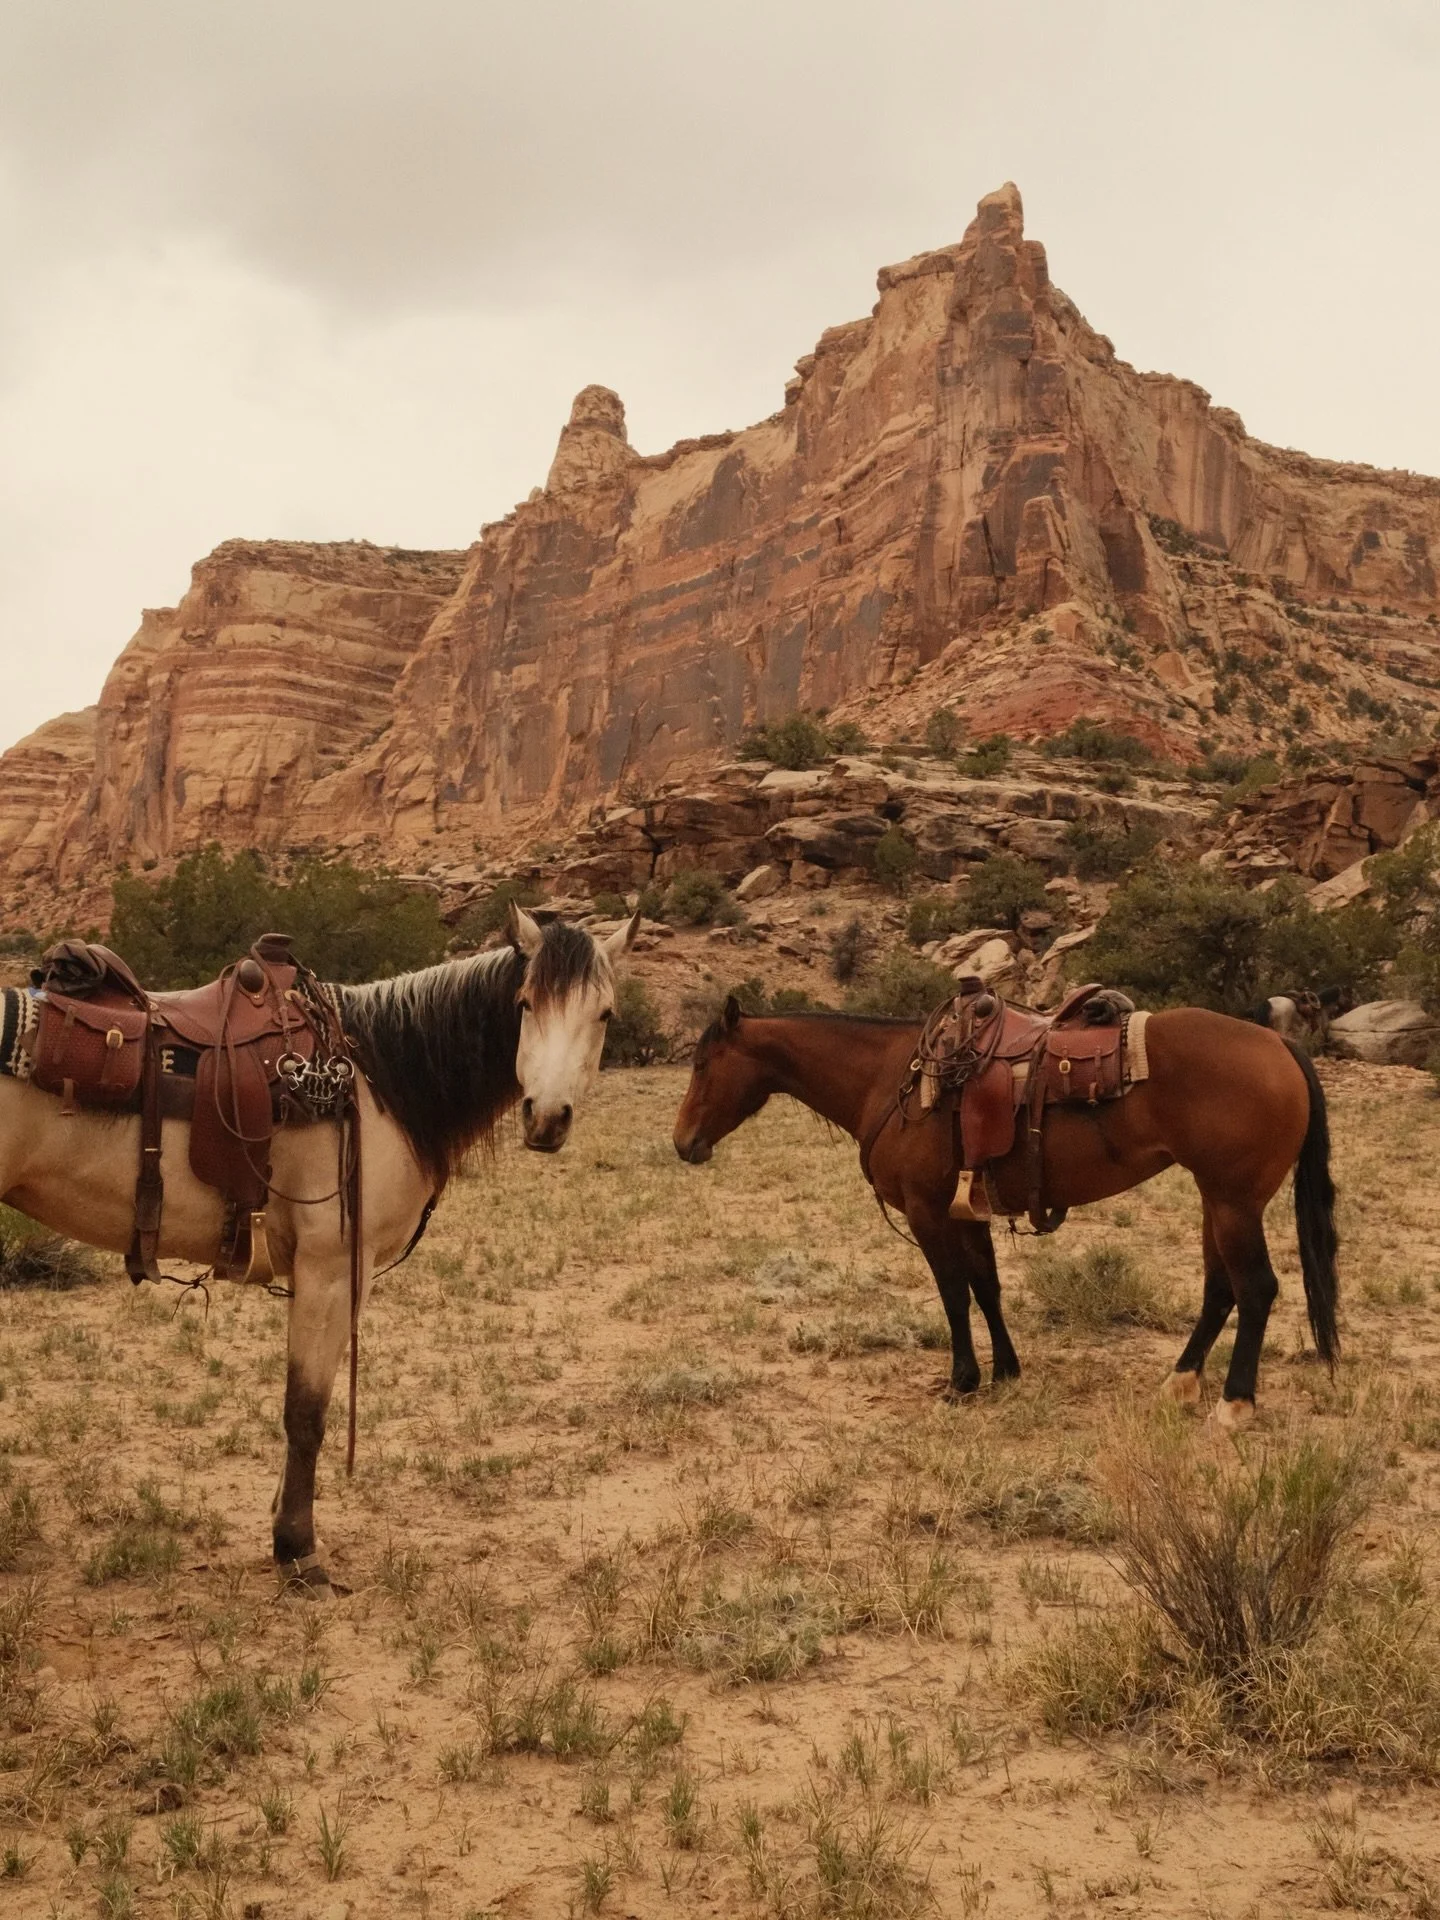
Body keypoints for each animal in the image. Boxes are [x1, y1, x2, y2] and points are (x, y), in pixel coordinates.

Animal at [0, 906, 636, 1589]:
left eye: (606, 1013)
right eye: (524, 1003)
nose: (546, 1118)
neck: (374, 1078)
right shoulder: (330, 1272)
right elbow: (306, 1413)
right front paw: (298, 1551)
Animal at [672, 998, 1339, 1429]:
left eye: (703, 1064)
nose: (682, 1143)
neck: (891, 1080)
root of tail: (1280, 1042)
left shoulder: (929, 1212)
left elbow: (953, 1292)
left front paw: (962, 1380)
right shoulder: (968, 1213)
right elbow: (986, 1287)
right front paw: (1007, 1372)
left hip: (1233, 1203)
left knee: (1256, 1289)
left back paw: (1234, 1405)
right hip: (1216, 1201)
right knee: (1220, 1290)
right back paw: (1179, 1385)